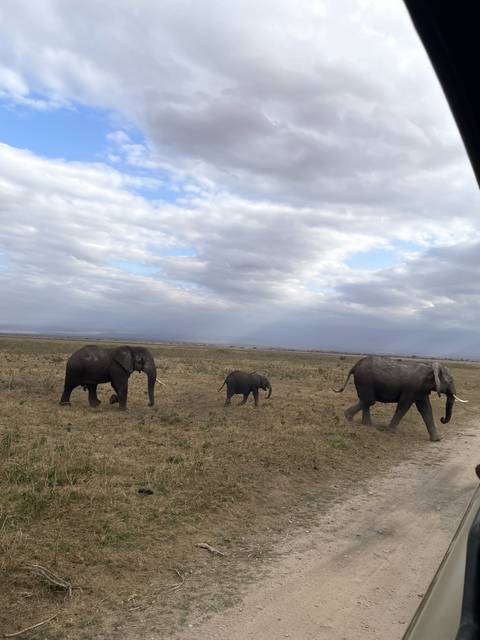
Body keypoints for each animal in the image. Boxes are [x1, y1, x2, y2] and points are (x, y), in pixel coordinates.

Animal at [333, 356, 467, 441]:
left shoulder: (421, 390)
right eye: (450, 381)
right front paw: (390, 431)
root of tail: (354, 366)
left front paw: (437, 439)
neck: (429, 367)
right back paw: (348, 417)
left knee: (366, 401)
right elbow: (404, 405)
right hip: (365, 380)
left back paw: (367, 424)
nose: (442, 419)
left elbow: (426, 409)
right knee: (369, 400)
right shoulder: (412, 388)